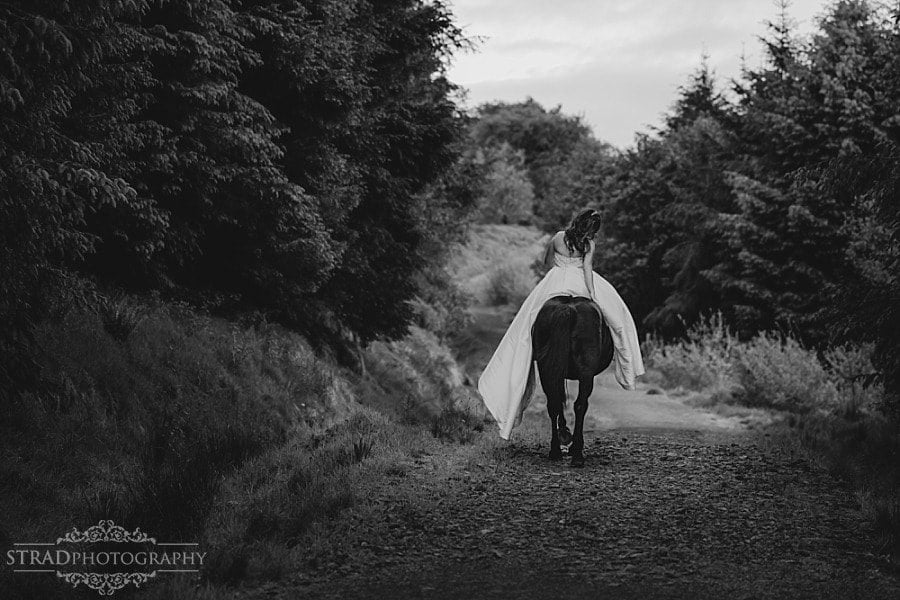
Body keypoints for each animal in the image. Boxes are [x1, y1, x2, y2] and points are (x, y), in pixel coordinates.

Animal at [531, 296, 613, 467]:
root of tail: (567, 308)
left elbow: (559, 399)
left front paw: (564, 432)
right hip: (586, 372)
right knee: (580, 405)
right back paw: (577, 454)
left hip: (545, 368)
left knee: (553, 404)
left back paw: (555, 451)